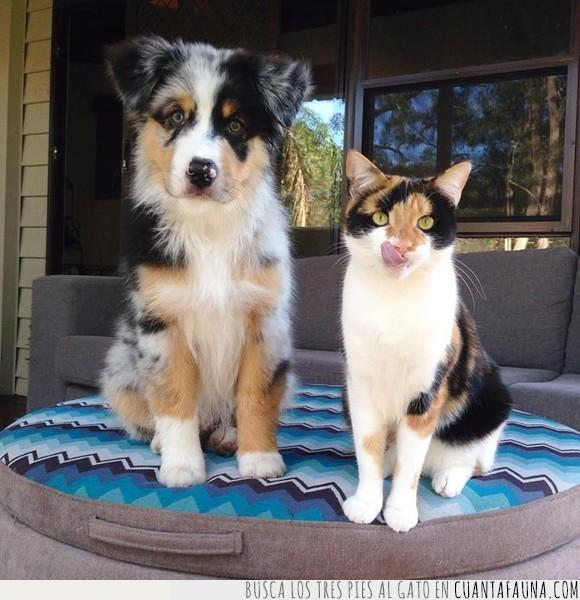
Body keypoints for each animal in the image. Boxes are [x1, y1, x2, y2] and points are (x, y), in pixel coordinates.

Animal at [101, 36, 310, 488]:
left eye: (235, 126)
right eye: (176, 116)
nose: (201, 171)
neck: (209, 224)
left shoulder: (265, 321)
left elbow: (256, 395)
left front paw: (259, 459)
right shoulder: (162, 323)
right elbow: (175, 397)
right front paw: (182, 466)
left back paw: (228, 435)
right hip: (120, 370)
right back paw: (162, 442)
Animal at [341, 150, 512, 532]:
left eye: (426, 222)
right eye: (380, 218)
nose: (401, 248)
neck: (394, 300)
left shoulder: (428, 389)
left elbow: (411, 464)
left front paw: (400, 511)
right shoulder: (360, 383)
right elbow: (367, 446)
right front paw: (366, 502)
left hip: (492, 401)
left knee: (475, 459)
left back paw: (448, 477)